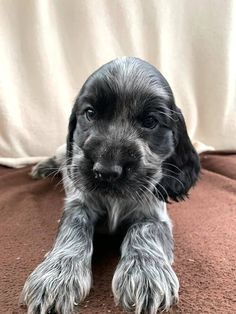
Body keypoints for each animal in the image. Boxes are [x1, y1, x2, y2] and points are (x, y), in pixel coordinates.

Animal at [21, 57, 200, 314]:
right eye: (90, 113)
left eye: (150, 121)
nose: (105, 171)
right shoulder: (79, 204)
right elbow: (73, 229)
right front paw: (57, 276)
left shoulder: (154, 214)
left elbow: (143, 230)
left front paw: (145, 273)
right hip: (63, 153)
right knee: (59, 155)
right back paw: (42, 168)